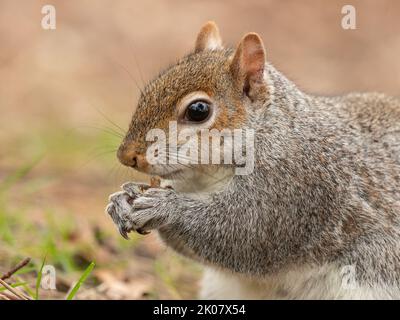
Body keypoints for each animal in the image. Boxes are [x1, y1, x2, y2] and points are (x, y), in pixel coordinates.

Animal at [106, 21, 400, 298]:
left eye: (198, 110)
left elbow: (247, 234)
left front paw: (165, 207)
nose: (126, 155)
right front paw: (123, 199)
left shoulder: (295, 188)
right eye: (147, 92)